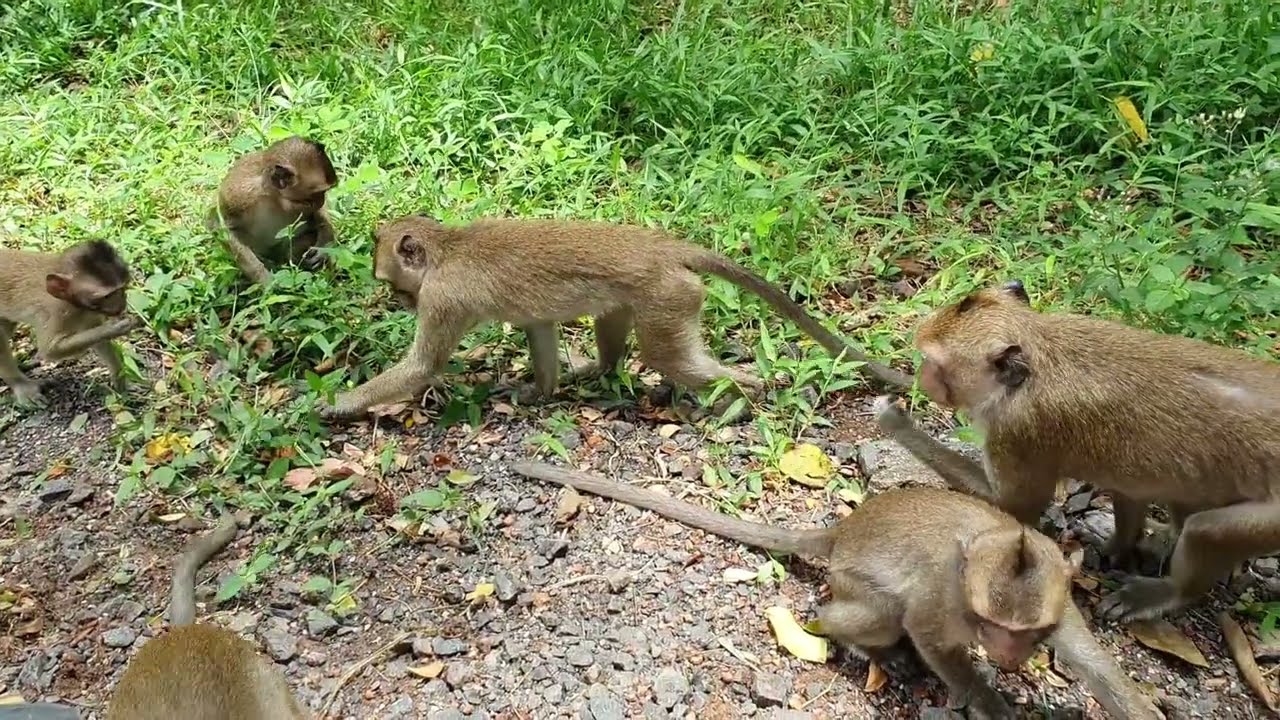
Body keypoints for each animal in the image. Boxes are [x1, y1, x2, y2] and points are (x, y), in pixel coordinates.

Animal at [0, 240, 140, 406]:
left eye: (123, 288)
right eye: (107, 296)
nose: (121, 305)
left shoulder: (86, 312)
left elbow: (97, 337)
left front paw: (120, 380)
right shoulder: (59, 312)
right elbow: (50, 351)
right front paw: (115, 328)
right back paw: (20, 384)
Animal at [206, 136, 338, 284]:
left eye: (325, 192)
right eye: (318, 193)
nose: (321, 200)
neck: (275, 197)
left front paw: (325, 246)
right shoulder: (238, 195)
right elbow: (217, 223)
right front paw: (266, 281)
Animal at [318, 215, 912, 421]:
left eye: (392, 283)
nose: (401, 303)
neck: (447, 249)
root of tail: (665, 249)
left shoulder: (442, 298)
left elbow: (421, 367)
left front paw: (339, 404)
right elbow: (539, 328)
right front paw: (540, 389)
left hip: (669, 297)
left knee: (668, 355)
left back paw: (743, 395)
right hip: (649, 294)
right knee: (612, 321)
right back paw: (599, 372)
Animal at [510, 461, 1163, 720]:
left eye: (1027, 631)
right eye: (990, 624)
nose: (1007, 657)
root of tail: (843, 531)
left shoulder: (1061, 598)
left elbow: (1090, 661)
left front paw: (1140, 707)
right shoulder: (941, 596)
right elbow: (927, 634)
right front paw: (989, 698)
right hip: (851, 581)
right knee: (865, 612)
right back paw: (861, 642)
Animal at [871, 279, 1280, 624]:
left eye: (935, 362)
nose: (922, 377)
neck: (1039, 352)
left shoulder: (1019, 432)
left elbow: (1014, 509)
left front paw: (896, 423)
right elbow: (1130, 487)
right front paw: (1119, 546)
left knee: (1207, 531)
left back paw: (1170, 591)